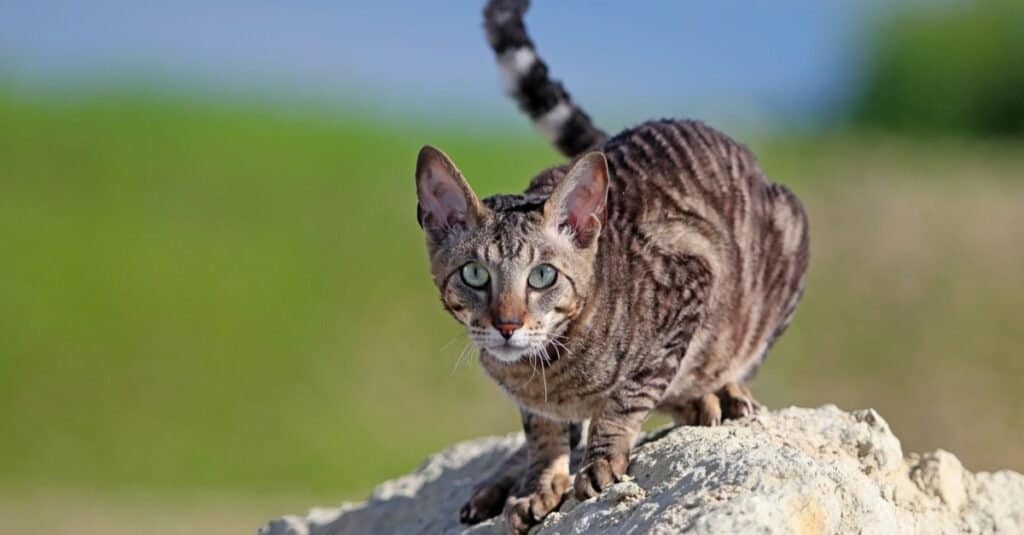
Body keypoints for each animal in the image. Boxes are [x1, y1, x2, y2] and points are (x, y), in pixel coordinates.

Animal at [413, 2, 806, 528]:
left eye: (542, 276)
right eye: (475, 274)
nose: (507, 325)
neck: (549, 370)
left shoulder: (691, 282)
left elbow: (629, 394)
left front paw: (602, 458)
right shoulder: (535, 403)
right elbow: (541, 432)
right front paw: (539, 482)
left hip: (786, 234)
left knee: (729, 361)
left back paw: (714, 394)